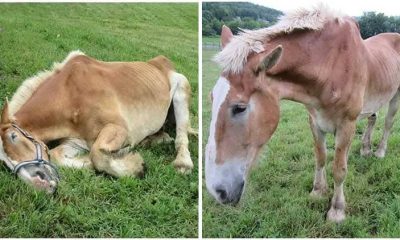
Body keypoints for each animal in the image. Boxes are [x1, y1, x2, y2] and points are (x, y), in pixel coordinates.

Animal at [0, 50, 194, 193]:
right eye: (3, 162)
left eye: (13, 137)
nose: (39, 184)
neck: (71, 96)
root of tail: (161, 62)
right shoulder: (76, 141)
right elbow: (59, 156)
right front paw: (91, 162)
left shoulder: (119, 128)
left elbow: (98, 154)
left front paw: (136, 167)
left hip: (181, 90)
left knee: (182, 136)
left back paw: (182, 163)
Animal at [206, 5, 400, 223]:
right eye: (212, 97)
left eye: (239, 107)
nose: (217, 191)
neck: (331, 66)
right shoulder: (315, 121)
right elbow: (321, 157)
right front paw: (318, 191)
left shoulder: (346, 125)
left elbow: (339, 169)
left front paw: (337, 210)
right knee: (372, 118)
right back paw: (366, 149)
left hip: (394, 97)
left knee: (388, 123)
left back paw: (380, 152)